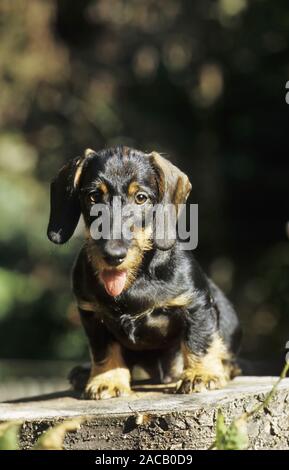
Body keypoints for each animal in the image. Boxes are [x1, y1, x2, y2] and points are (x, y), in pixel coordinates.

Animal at [47, 145, 241, 398]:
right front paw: (107, 379)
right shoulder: (92, 314)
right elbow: (103, 350)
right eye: (93, 196)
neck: (136, 278)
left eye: (141, 198)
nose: (113, 255)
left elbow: (199, 339)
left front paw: (201, 374)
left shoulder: (196, 302)